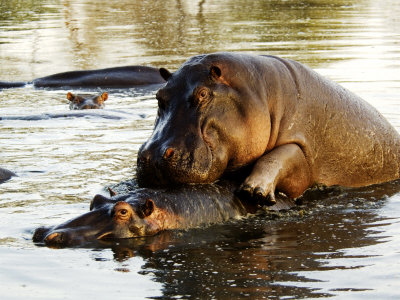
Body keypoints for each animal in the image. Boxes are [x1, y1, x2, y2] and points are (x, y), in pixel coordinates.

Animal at [137, 52, 400, 205]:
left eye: (203, 94)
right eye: (159, 96)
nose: (152, 157)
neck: (258, 94)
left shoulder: (301, 148)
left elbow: (279, 156)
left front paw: (254, 191)